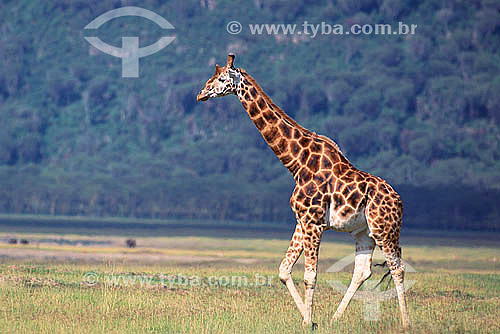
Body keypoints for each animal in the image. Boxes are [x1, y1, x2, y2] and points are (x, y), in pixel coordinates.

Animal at [195, 54, 410, 328]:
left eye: (222, 79)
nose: (201, 94)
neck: (297, 164)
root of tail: (400, 201)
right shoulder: (302, 220)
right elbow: (284, 270)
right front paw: (311, 320)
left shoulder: (313, 222)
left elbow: (310, 275)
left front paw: (307, 321)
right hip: (364, 232)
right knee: (363, 270)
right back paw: (334, 319)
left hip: (384, 229)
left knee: (397, 267)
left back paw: (406, 322)